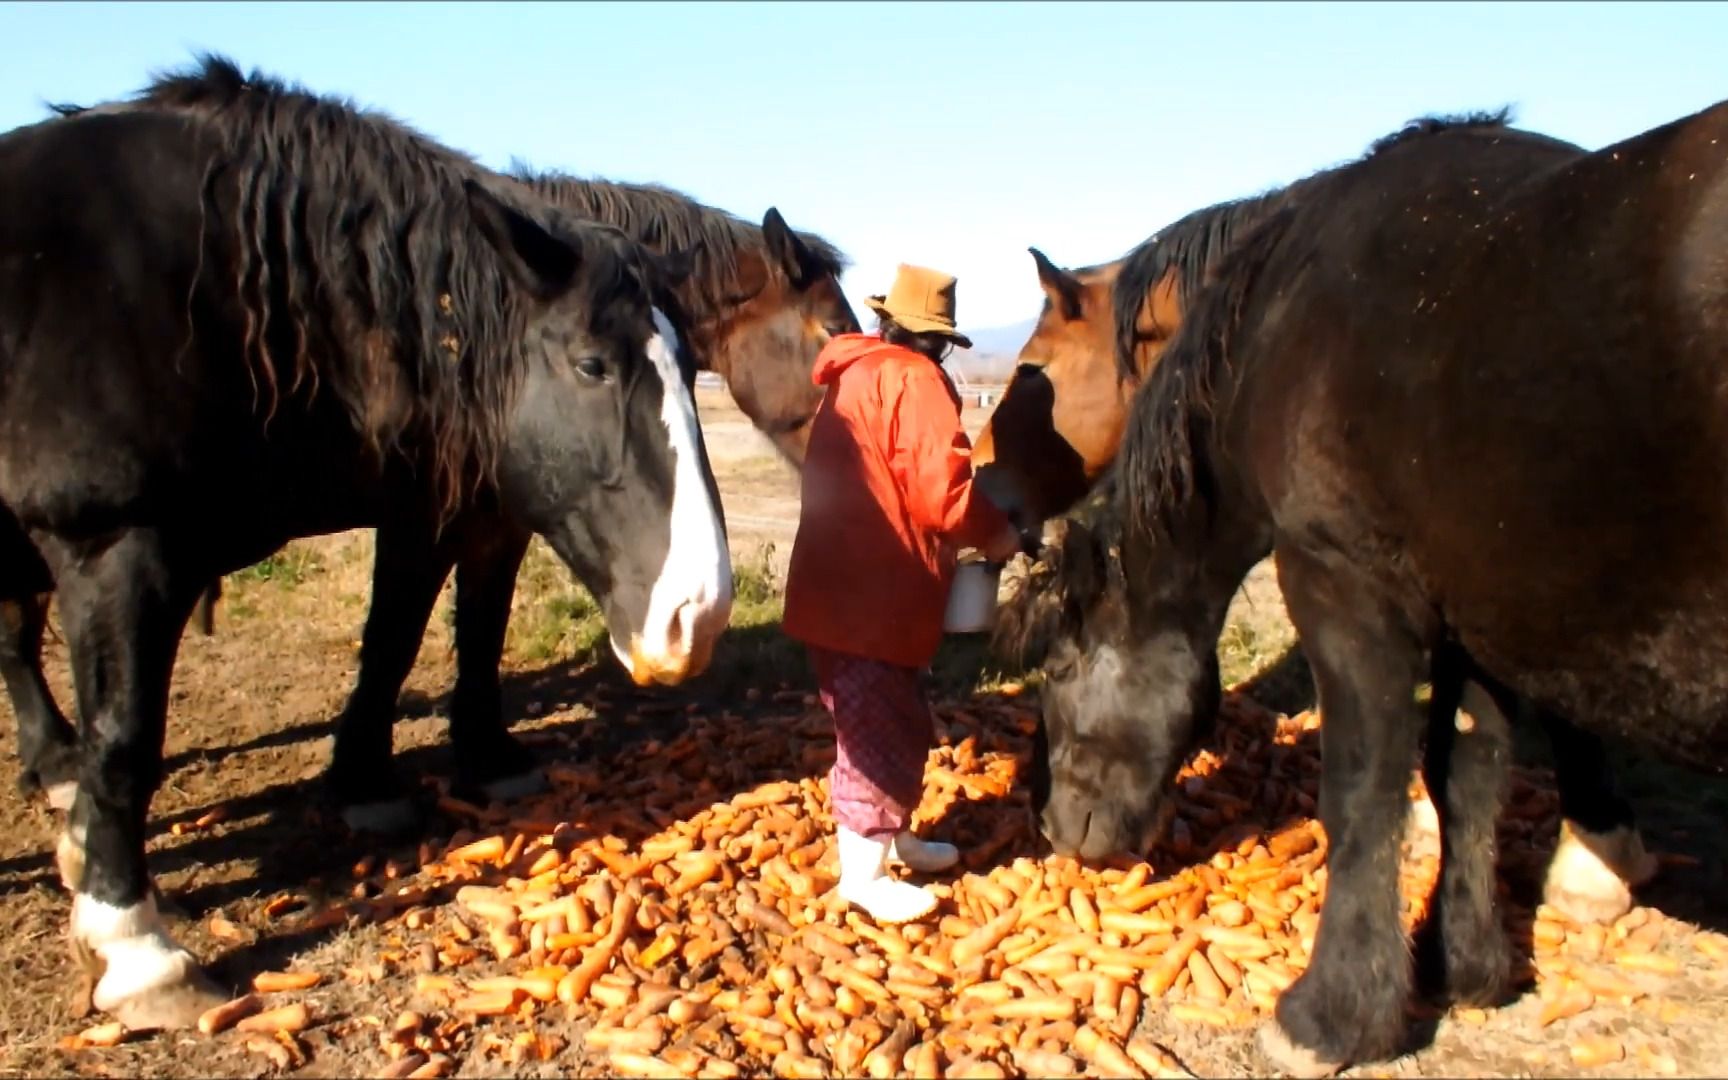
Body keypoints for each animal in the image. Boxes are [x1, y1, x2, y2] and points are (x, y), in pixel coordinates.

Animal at [0, 57, 732, 1029]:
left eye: (692, 370)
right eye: (591, 365)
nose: (699, 616)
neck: (206, 296)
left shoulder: (429, 502)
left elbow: (407, 636)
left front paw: (389, 781)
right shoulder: (112, 547)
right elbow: (125, 739)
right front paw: (136, 948)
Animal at [995, 98, 1728, 1071]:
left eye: (1063, 670)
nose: (1057, 828)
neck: (1273, 325)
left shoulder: (1345, 585)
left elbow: (1365, 787)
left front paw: (1333, 1015)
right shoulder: (1479, 604)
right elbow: (1468, 773)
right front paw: (1470, 964)